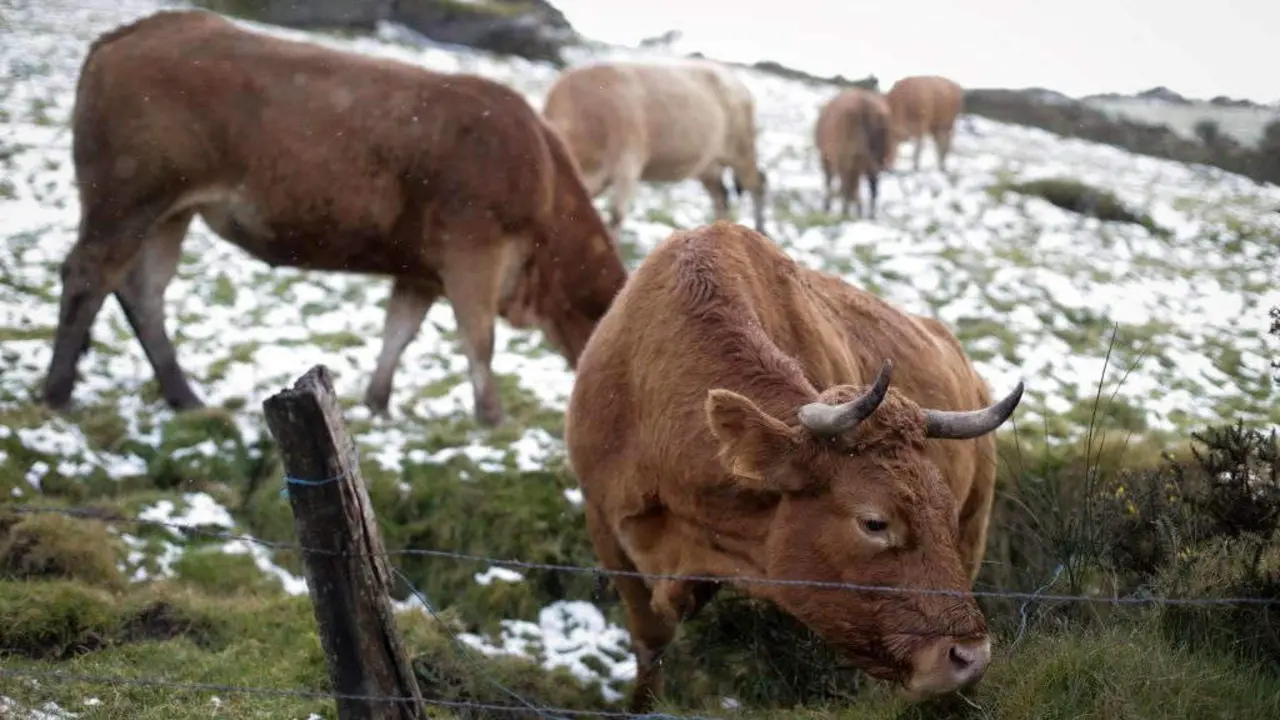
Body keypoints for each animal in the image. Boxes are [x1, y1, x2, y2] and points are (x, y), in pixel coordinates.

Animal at [40, 9, 628, 428]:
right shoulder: (473, 252)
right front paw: (493, 420)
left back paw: (183, 397)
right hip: (127, 196)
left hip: (170, 211)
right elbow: (478, 339)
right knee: (89, 275)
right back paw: (58, 392)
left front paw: (377, 404)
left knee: (144, 290)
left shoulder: (421, 269)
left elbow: (399, 332)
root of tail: (131, 32)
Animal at [541, 58, 769, 236]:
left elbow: (615, 215)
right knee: (721, 197)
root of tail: (733, 78)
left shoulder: (628, 162)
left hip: (742, 148)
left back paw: (761, 231)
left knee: (757, 184)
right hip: (708, 165)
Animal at [814, 88, 893, 220]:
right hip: (870, 160)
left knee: (847, 186)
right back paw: (869, 215)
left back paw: (845, 212)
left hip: (845, 158)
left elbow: (835, 184)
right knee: (872, 188)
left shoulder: (830, 158)